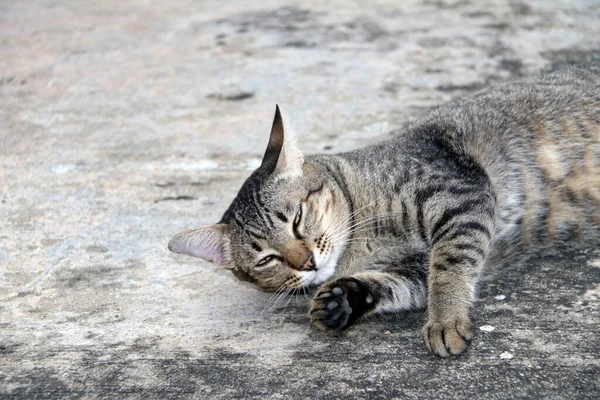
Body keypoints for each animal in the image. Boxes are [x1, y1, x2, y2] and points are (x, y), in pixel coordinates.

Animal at [169, 64, 600, 358]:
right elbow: (396, 285)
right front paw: (341, 301)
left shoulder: (459, 195)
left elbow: (448, 269)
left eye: (297, 219)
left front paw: (446, 321)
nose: (307, 262)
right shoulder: (412, 269)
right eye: (266, 260)